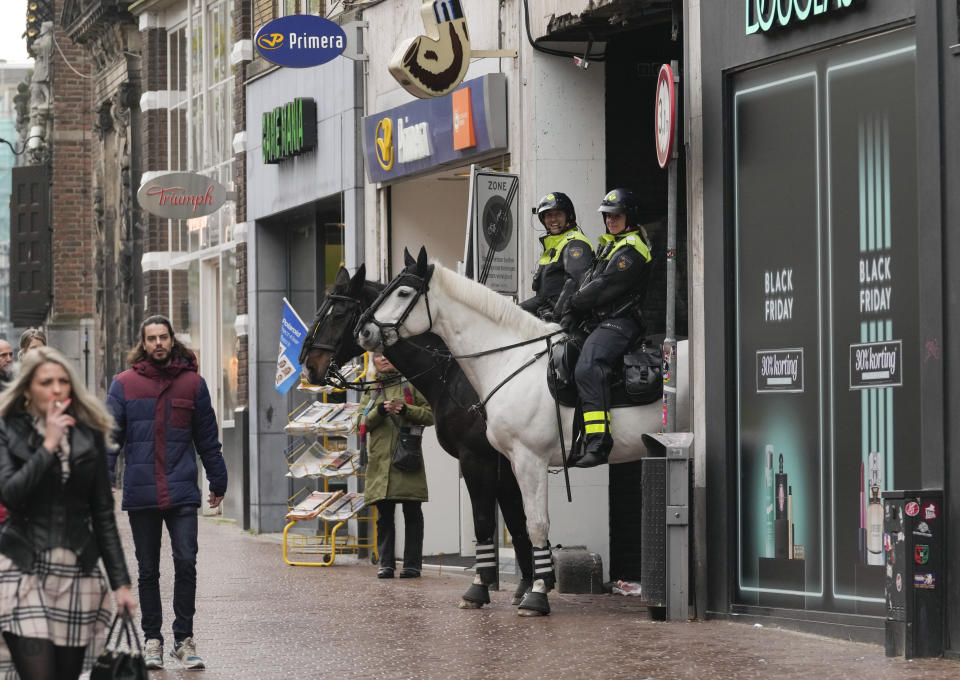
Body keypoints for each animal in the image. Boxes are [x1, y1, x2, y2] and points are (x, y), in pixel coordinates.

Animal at [302, 262, 532, 604]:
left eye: (339, 314)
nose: (309, 367)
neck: (456, 374)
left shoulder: (482, 458)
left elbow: (491, 520)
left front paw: (488, 587)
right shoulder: (503, 461)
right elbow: (517, 521)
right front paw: (525, 586)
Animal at [356, 247, 688, 612]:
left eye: (403, 292)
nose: (364, 331)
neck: (509, 361)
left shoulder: (523, 460)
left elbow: (533, 523)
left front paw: (536, 593)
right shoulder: (511, 462)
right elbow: (511, 523)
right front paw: (505, 587)